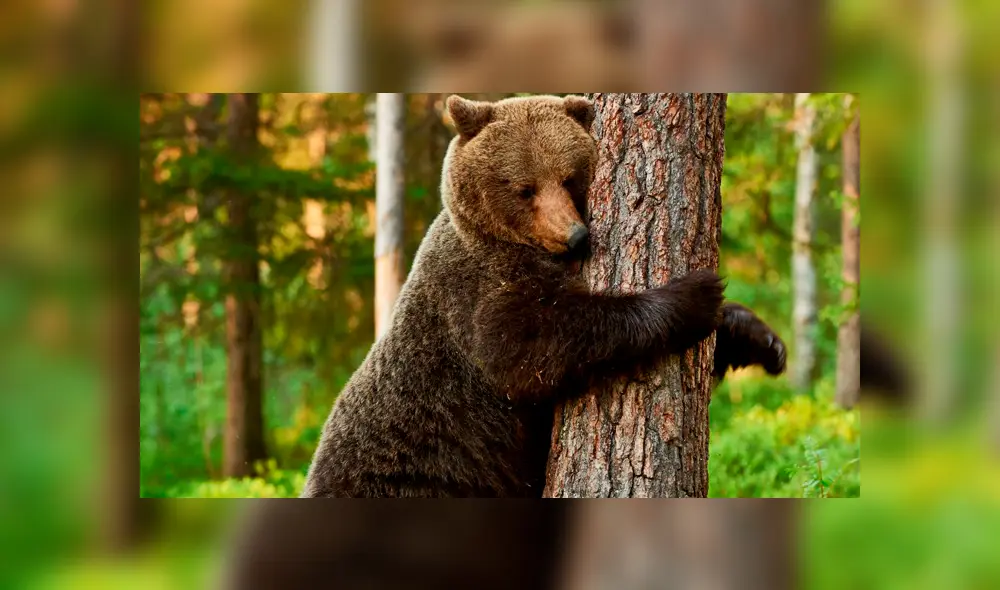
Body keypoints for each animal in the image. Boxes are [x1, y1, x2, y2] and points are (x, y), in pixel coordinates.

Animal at [300, 94, 785, 498]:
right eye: (524, 188)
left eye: (569, 178)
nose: (574, 236)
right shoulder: (475, 294)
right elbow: (531, 346)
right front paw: (694, 294)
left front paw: (760, 339)